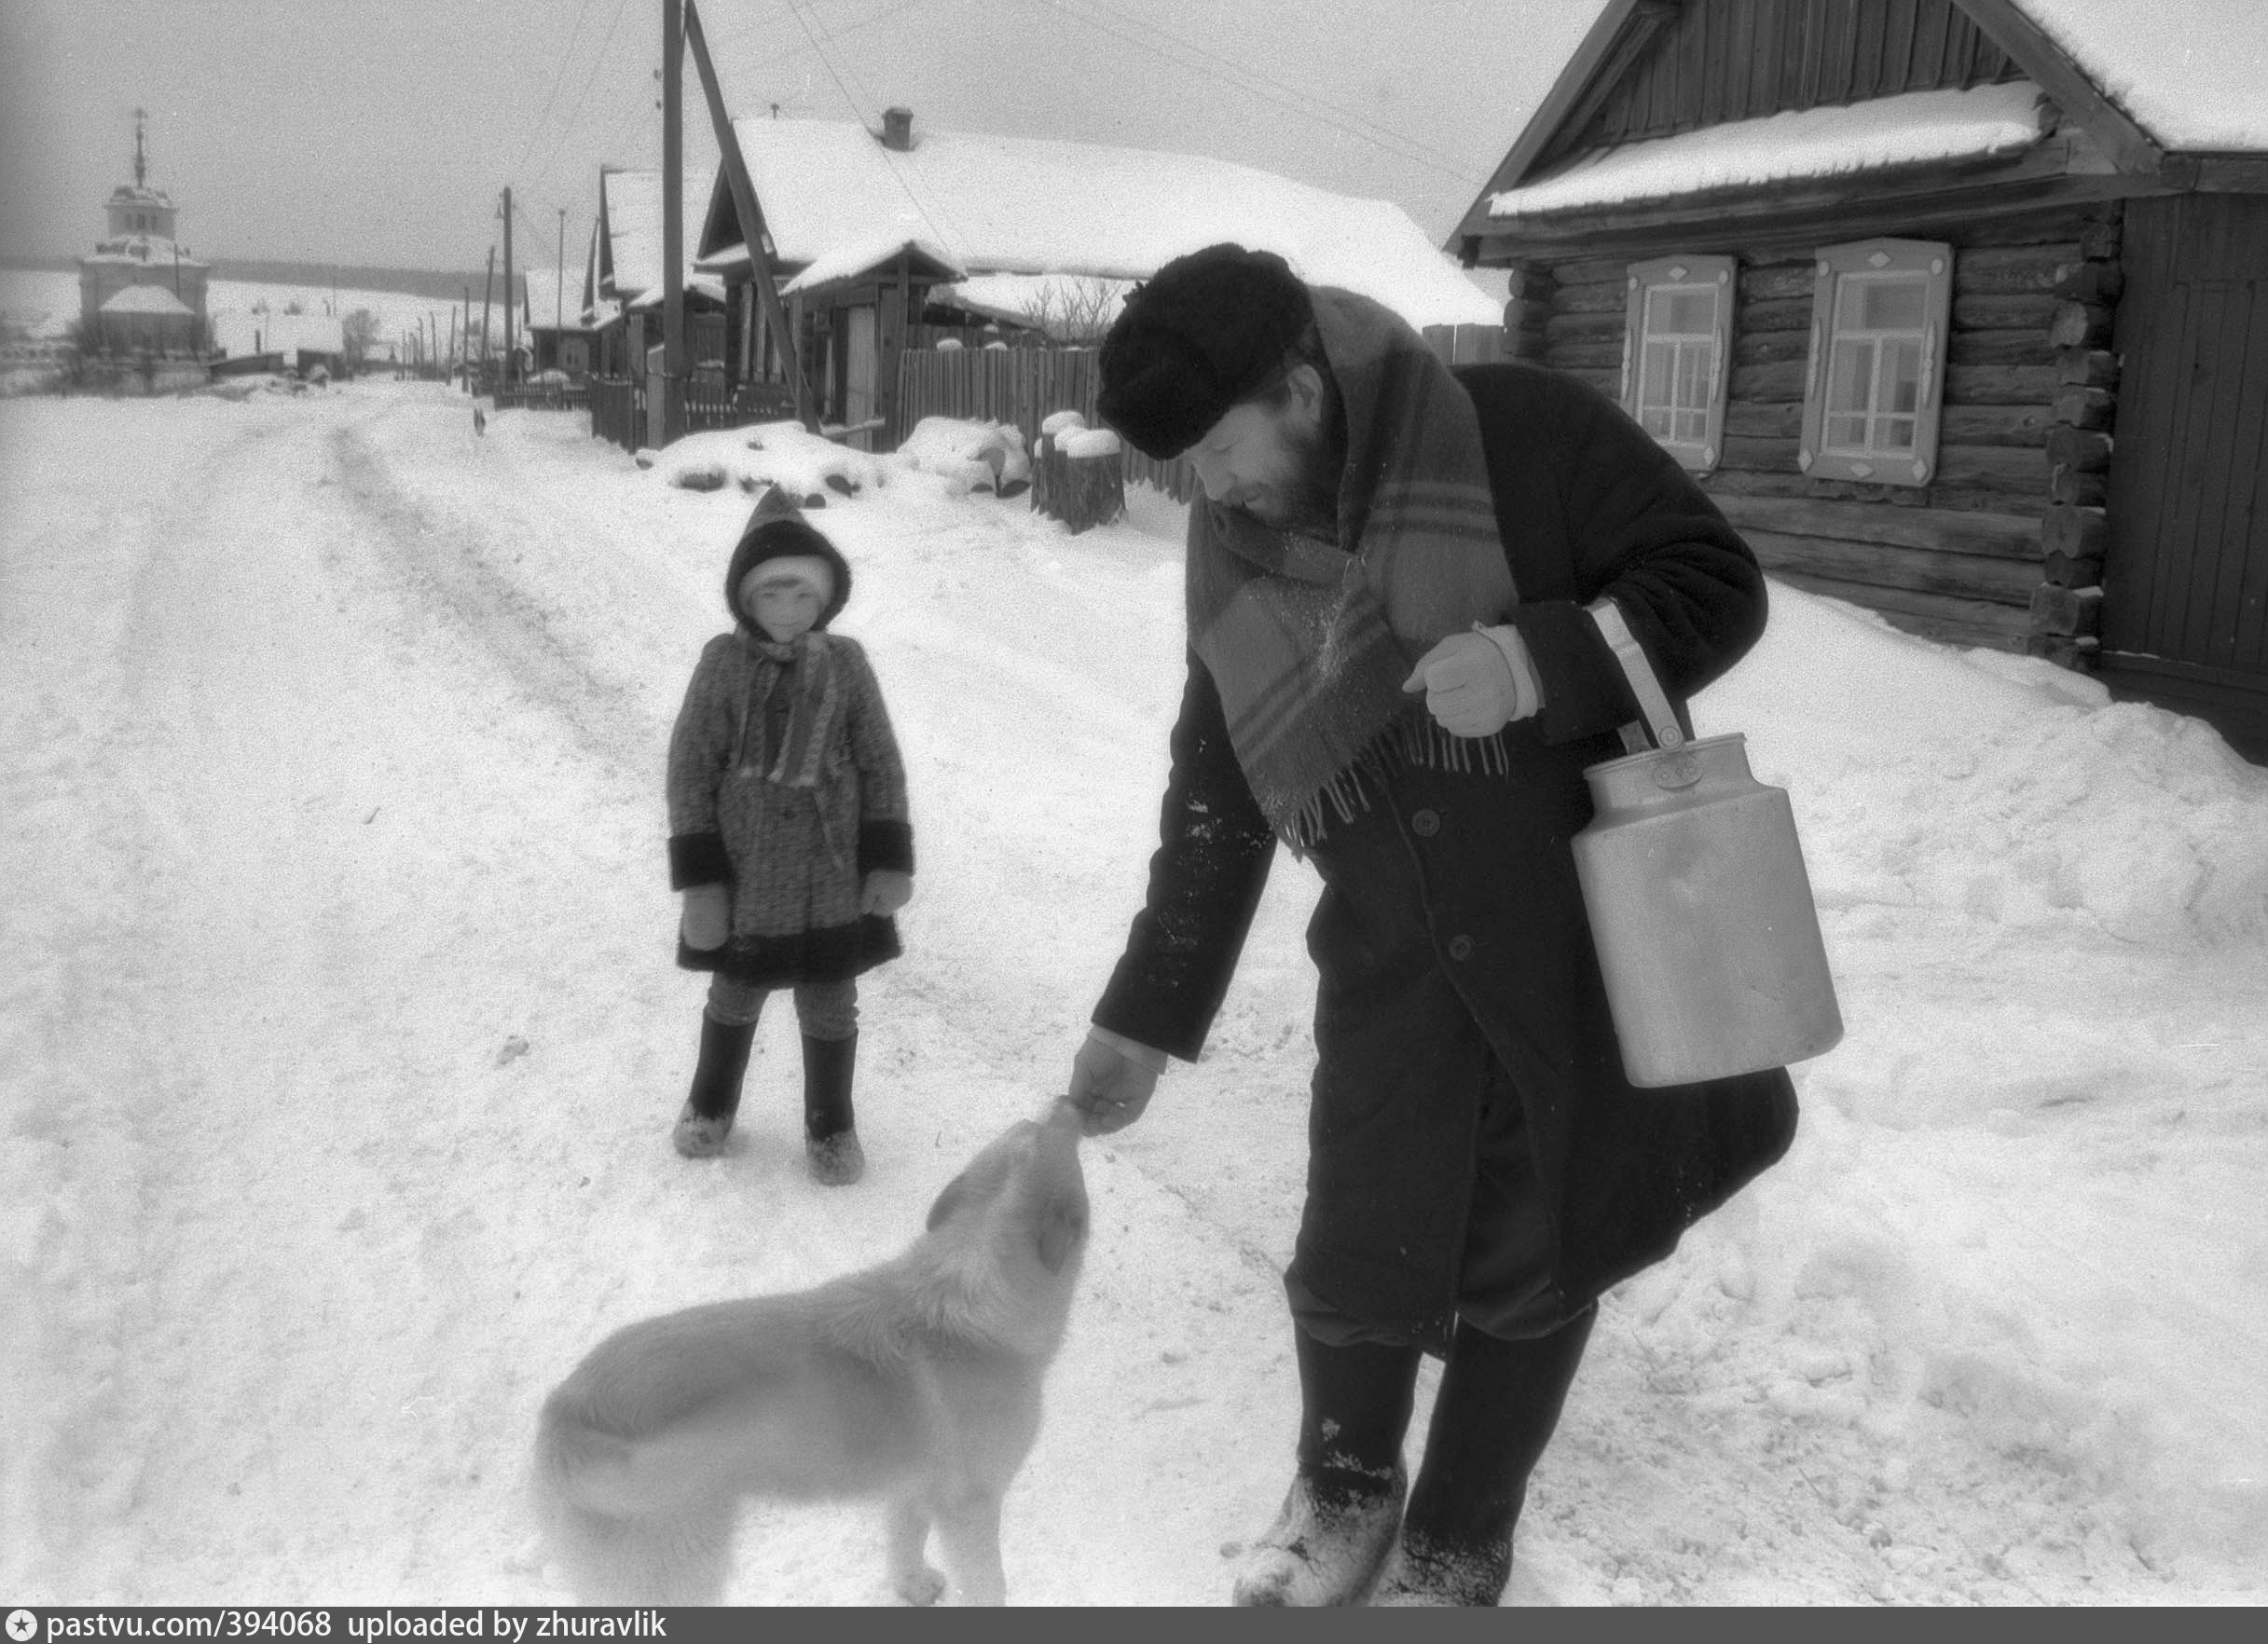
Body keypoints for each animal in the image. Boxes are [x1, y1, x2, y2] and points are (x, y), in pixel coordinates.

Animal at [535, 1102, 1093, 1605]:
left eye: (1030, 1124)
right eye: (1052, 1133)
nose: (1071, 1103)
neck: (965, 1301)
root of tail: (565, 1412)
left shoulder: (912, 1490)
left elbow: (904, 1545)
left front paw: (912, 1588)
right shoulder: (971, 1507)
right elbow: (989, 1586)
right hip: (684, 1571)